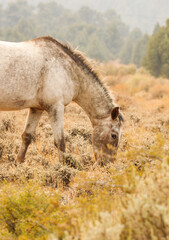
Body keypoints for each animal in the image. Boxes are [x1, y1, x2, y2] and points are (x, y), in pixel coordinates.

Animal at [0, 36, 124, 165]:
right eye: (114, 135)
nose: (106, 163)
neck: (68, 70)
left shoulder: (36, 109)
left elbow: (27, 136)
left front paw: (18, 163)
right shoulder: (56, 107)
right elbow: (60, 142)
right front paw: (64, 166)